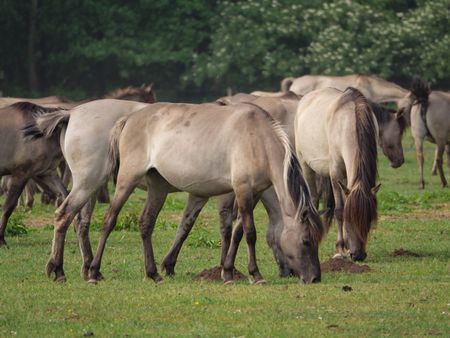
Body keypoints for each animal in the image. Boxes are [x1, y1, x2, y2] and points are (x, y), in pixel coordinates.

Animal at [84, 101, 324, 284]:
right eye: (305, 241)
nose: (315, 278)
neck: (258, 139)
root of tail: (129, 119)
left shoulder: (253, 193)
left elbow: (237, 232)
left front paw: (227, 272)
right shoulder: (242, 189)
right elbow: (250, 233)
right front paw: (255, 275)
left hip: (158, 188)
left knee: (146, 223)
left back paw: (153, 274)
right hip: (127, 181)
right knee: (109, 220)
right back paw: (94, 272)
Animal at [298, 87, 382, 262]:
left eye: (370, 220)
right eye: (350, 220)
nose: (358, 255)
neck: (348, 121)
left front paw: (346, 246)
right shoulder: (335, 172)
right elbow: (339, 210)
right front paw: (339, 249)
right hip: (306, 166)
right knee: (313, 199)